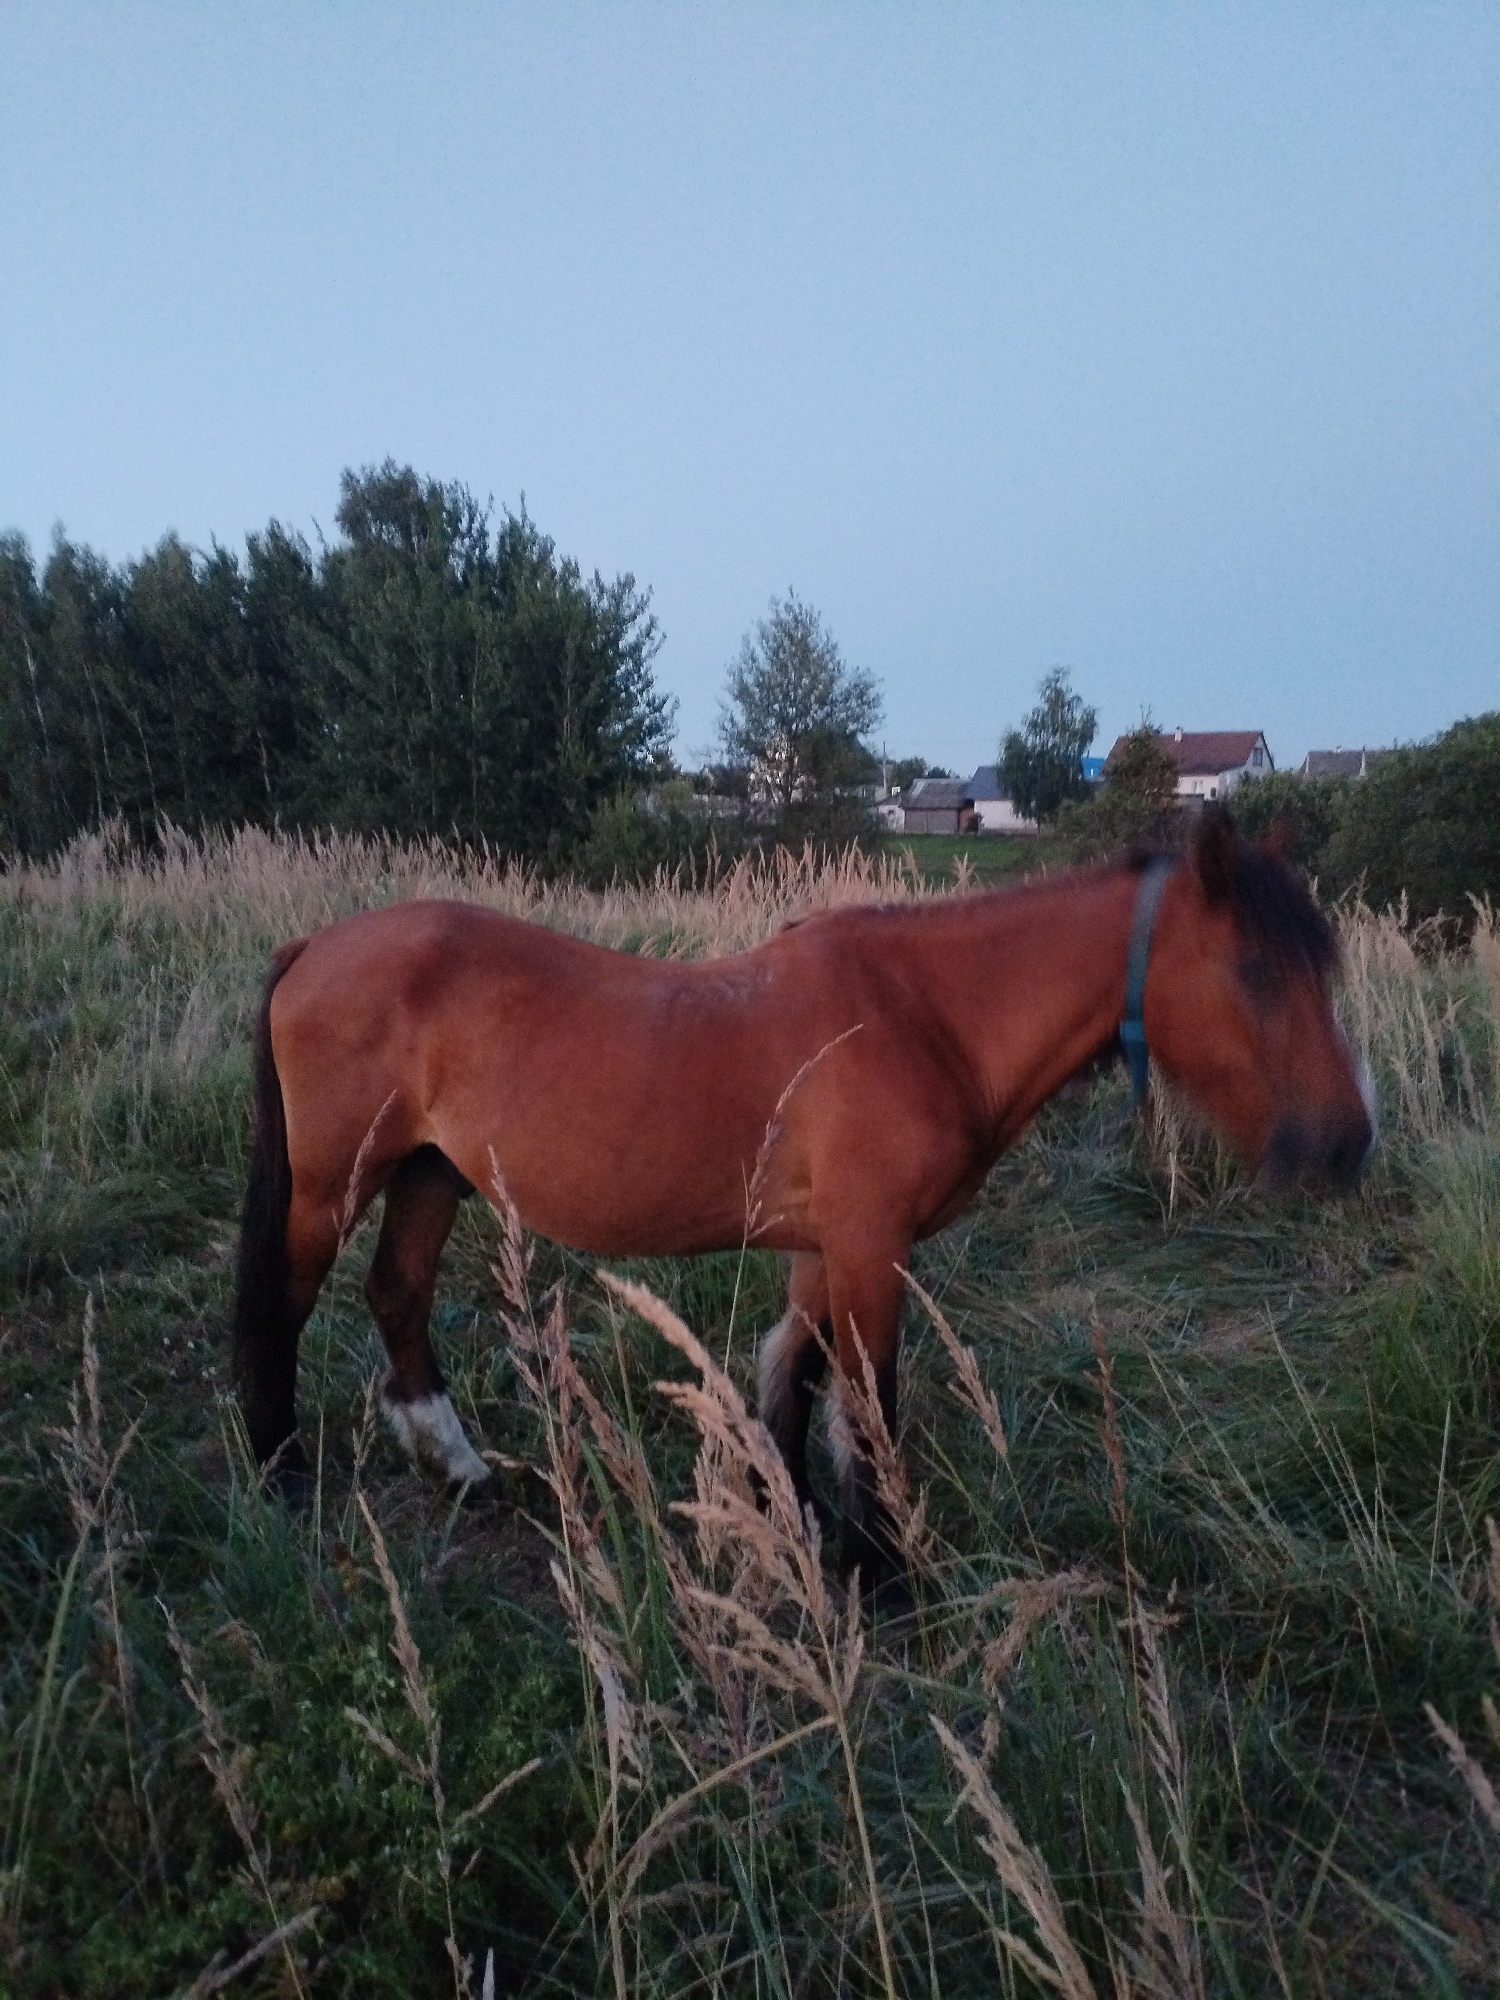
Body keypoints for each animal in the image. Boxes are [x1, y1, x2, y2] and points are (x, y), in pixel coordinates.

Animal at [233, 810, 1374, 1591]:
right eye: (1256, 969)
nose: (1347, 1145)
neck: (925, 1016)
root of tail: (311, 947)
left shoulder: (826, 1249)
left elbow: (797, 1380)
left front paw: (797, 1526)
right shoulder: (870, 1246)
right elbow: (869, 1404)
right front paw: (885, 1573)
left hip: (434, 1171)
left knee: (397, 1294)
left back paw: (459, 1463)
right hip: (335, 1183)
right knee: (283, 1305)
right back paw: (279, 1471)